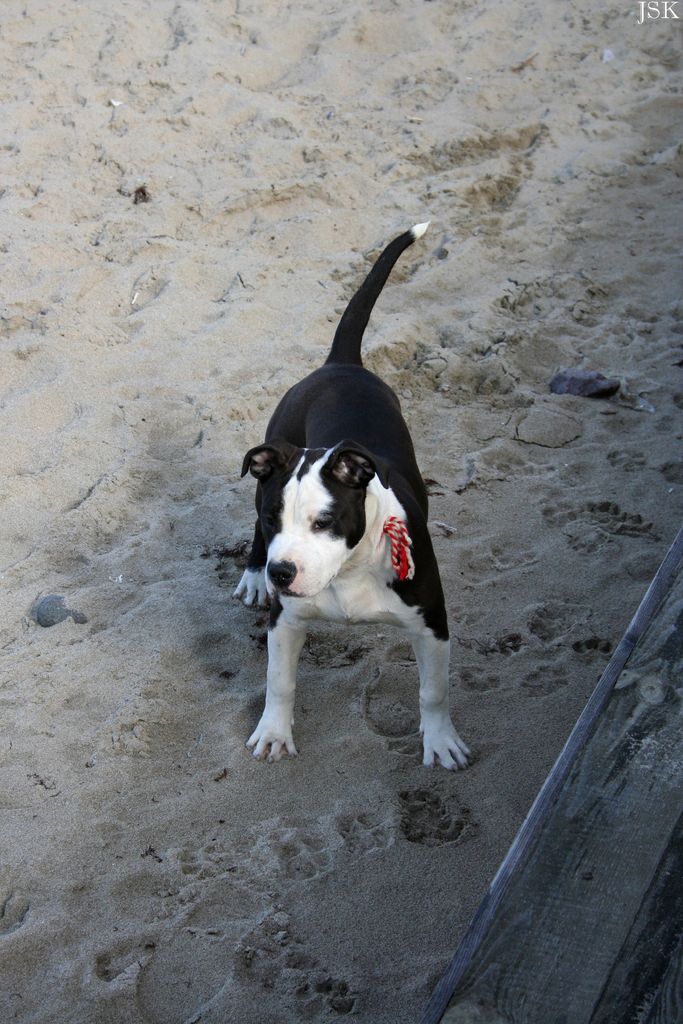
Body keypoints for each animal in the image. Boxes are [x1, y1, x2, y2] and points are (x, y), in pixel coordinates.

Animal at [234, 223, 470, 770]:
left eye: (325, 522)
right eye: (275, 518)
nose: (282, 572)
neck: (348, 572)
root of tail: (340, 362)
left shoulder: (432, 624)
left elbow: (434, 692)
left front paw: (440, 742)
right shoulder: (286, 620)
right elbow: (279, 682)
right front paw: (273, 732)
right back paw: (253, 575)